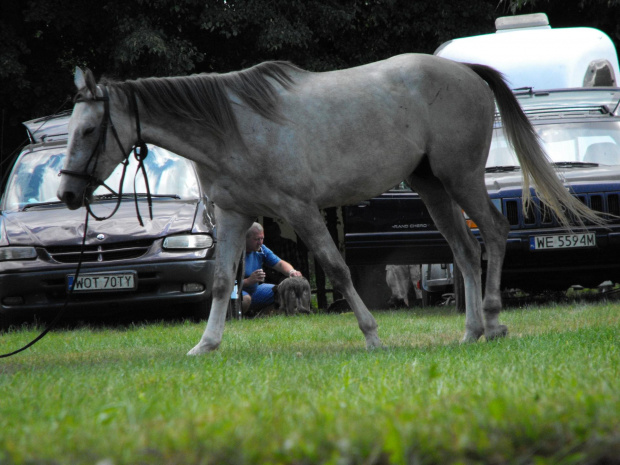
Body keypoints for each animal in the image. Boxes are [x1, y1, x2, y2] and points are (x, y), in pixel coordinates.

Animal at [58, 54, 600, 354]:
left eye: (89, 128)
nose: (65, 193)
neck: (233, 127)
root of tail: (465, 71)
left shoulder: (299, 210)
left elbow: (337, 269)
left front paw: (373, 336)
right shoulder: (234, 217)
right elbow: (221, 283)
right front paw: (206, 344)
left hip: (460, 178)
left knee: (493, 234)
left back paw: (493, 320)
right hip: (431, 186)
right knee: (465, 250)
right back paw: (470, 333)